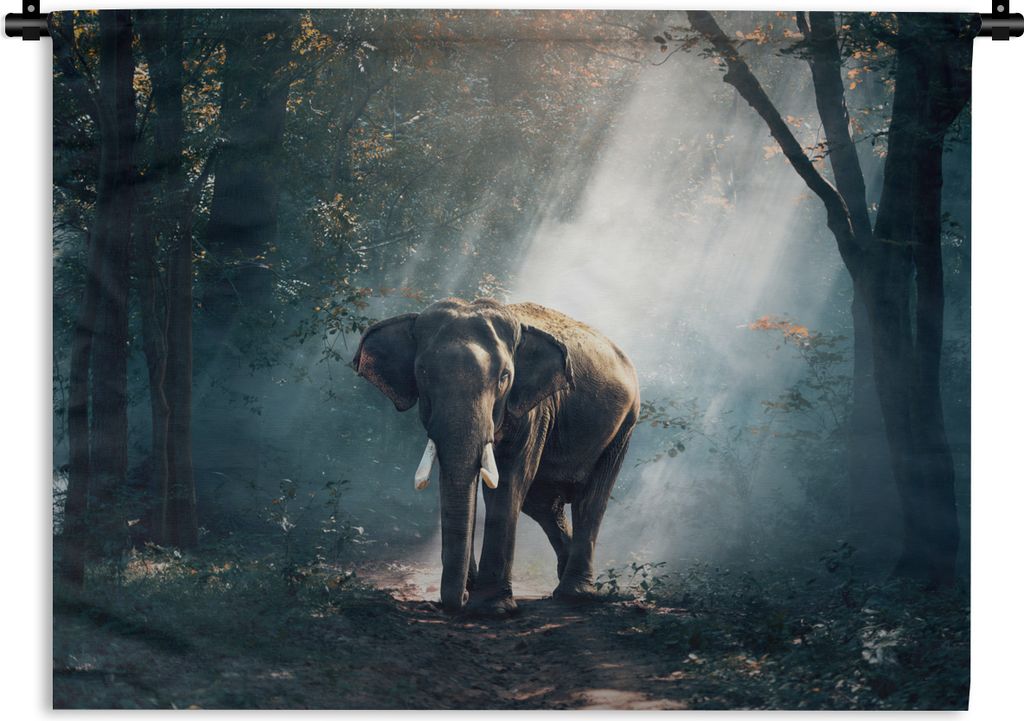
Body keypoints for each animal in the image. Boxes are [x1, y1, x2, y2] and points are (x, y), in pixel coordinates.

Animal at [352, 298, 639, 616]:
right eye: (423, 373)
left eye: (504, 377)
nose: (460, 599)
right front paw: (475, 593)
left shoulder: (534, 409)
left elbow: (508, 483)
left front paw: (492, 608)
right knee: (542, 505)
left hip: (624, 426)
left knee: (590, 500)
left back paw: (574, 595)